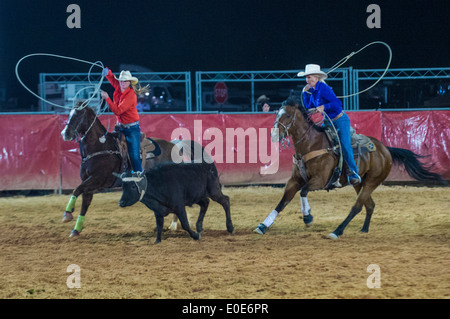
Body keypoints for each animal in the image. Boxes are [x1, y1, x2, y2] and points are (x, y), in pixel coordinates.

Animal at [60, 105, 192, 238]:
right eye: (68, 115)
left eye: (78, 115)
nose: (65, 133)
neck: (100, 146)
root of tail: (174, 146)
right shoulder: (89, 185)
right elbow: (84, 204)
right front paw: (76, 230)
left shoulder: (97, 179)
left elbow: (76, 190)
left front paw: (67, 214)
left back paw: (174, 225)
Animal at [255, 100, 444, 240]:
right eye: (276, 114)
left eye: (287, 115)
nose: (273, 134)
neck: (312, 144)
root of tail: (385, 149)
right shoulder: (295, 180)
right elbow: (283, 202)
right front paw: (263, 225)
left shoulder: (319, 180)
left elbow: (303, 192)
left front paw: (308, 217)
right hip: (359, 183)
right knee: (369, 205)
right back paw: (364, 229)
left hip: (372, 181)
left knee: (357, 207)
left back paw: (337, 231)